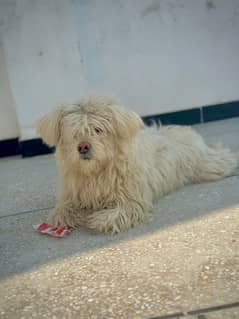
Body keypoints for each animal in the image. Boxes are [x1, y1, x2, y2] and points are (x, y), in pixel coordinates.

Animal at [36, 96, 238, 234]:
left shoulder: (132, 199)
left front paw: (98, 219)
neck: (97, 172)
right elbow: (61, 212)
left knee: (225, 157)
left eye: (98, 130)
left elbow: (117, 213)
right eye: (74, 132)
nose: (83, 147)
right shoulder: (71, 195)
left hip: (207, 166)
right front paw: (69, 216)